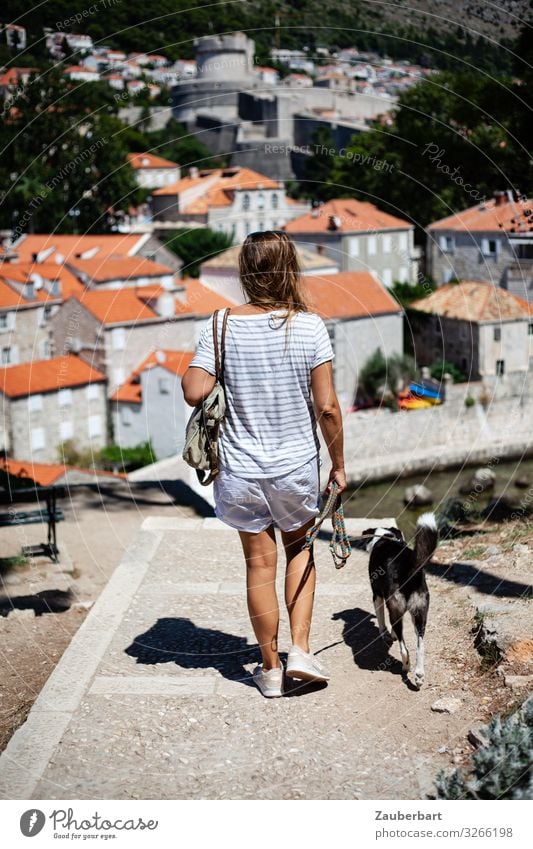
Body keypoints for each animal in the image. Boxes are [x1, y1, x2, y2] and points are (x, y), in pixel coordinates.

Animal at [362, 510, 436, 688]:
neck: (385, 537)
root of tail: (408, 568)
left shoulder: (377, 595)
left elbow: (381, 619)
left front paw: (385, 634)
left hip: (395, 609)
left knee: (404, 649)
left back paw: (406, 666)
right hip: (420, 612)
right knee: (420, 645)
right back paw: (419, 675)